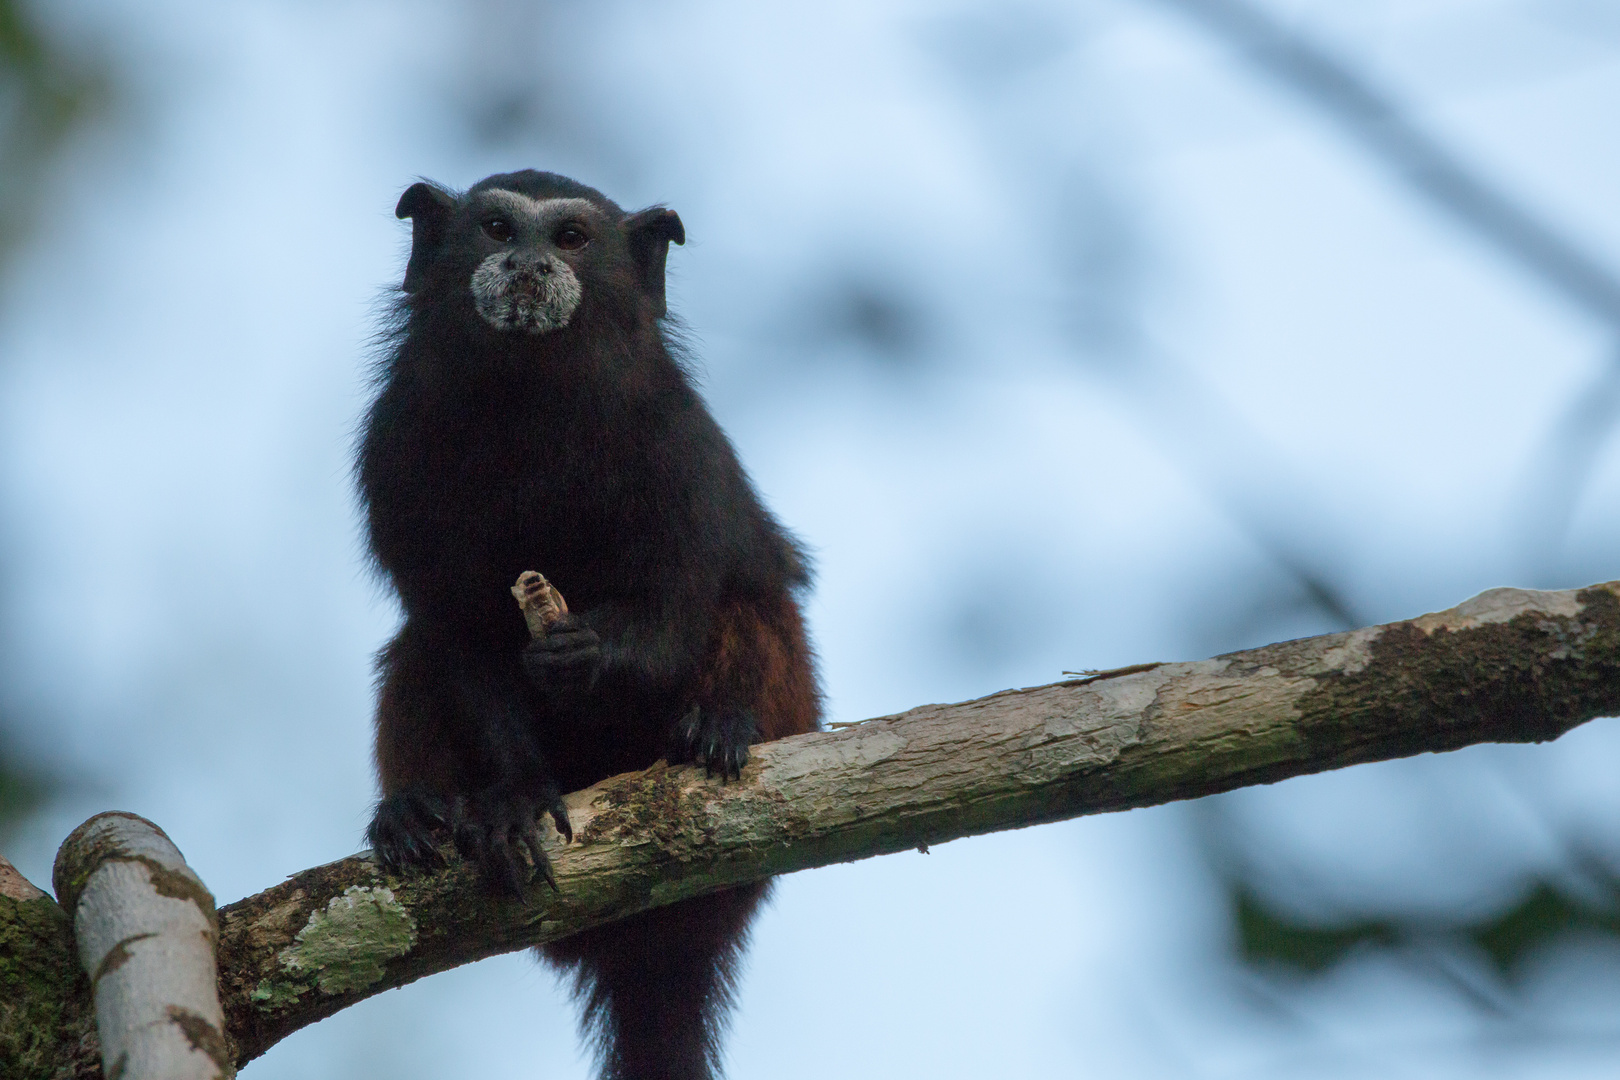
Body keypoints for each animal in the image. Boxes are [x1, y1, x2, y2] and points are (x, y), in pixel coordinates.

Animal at [358, 170, 822, 1080]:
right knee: (414, 649)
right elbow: (455, 636)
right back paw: (413, 815)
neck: (531, 403)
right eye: (497, 229)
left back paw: (721, 729)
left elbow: (680, 605)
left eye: (571, 239)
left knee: (756, 601)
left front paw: (583, 651)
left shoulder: (673, 444)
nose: (530, 265)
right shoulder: (394, 450)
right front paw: (511, 799)